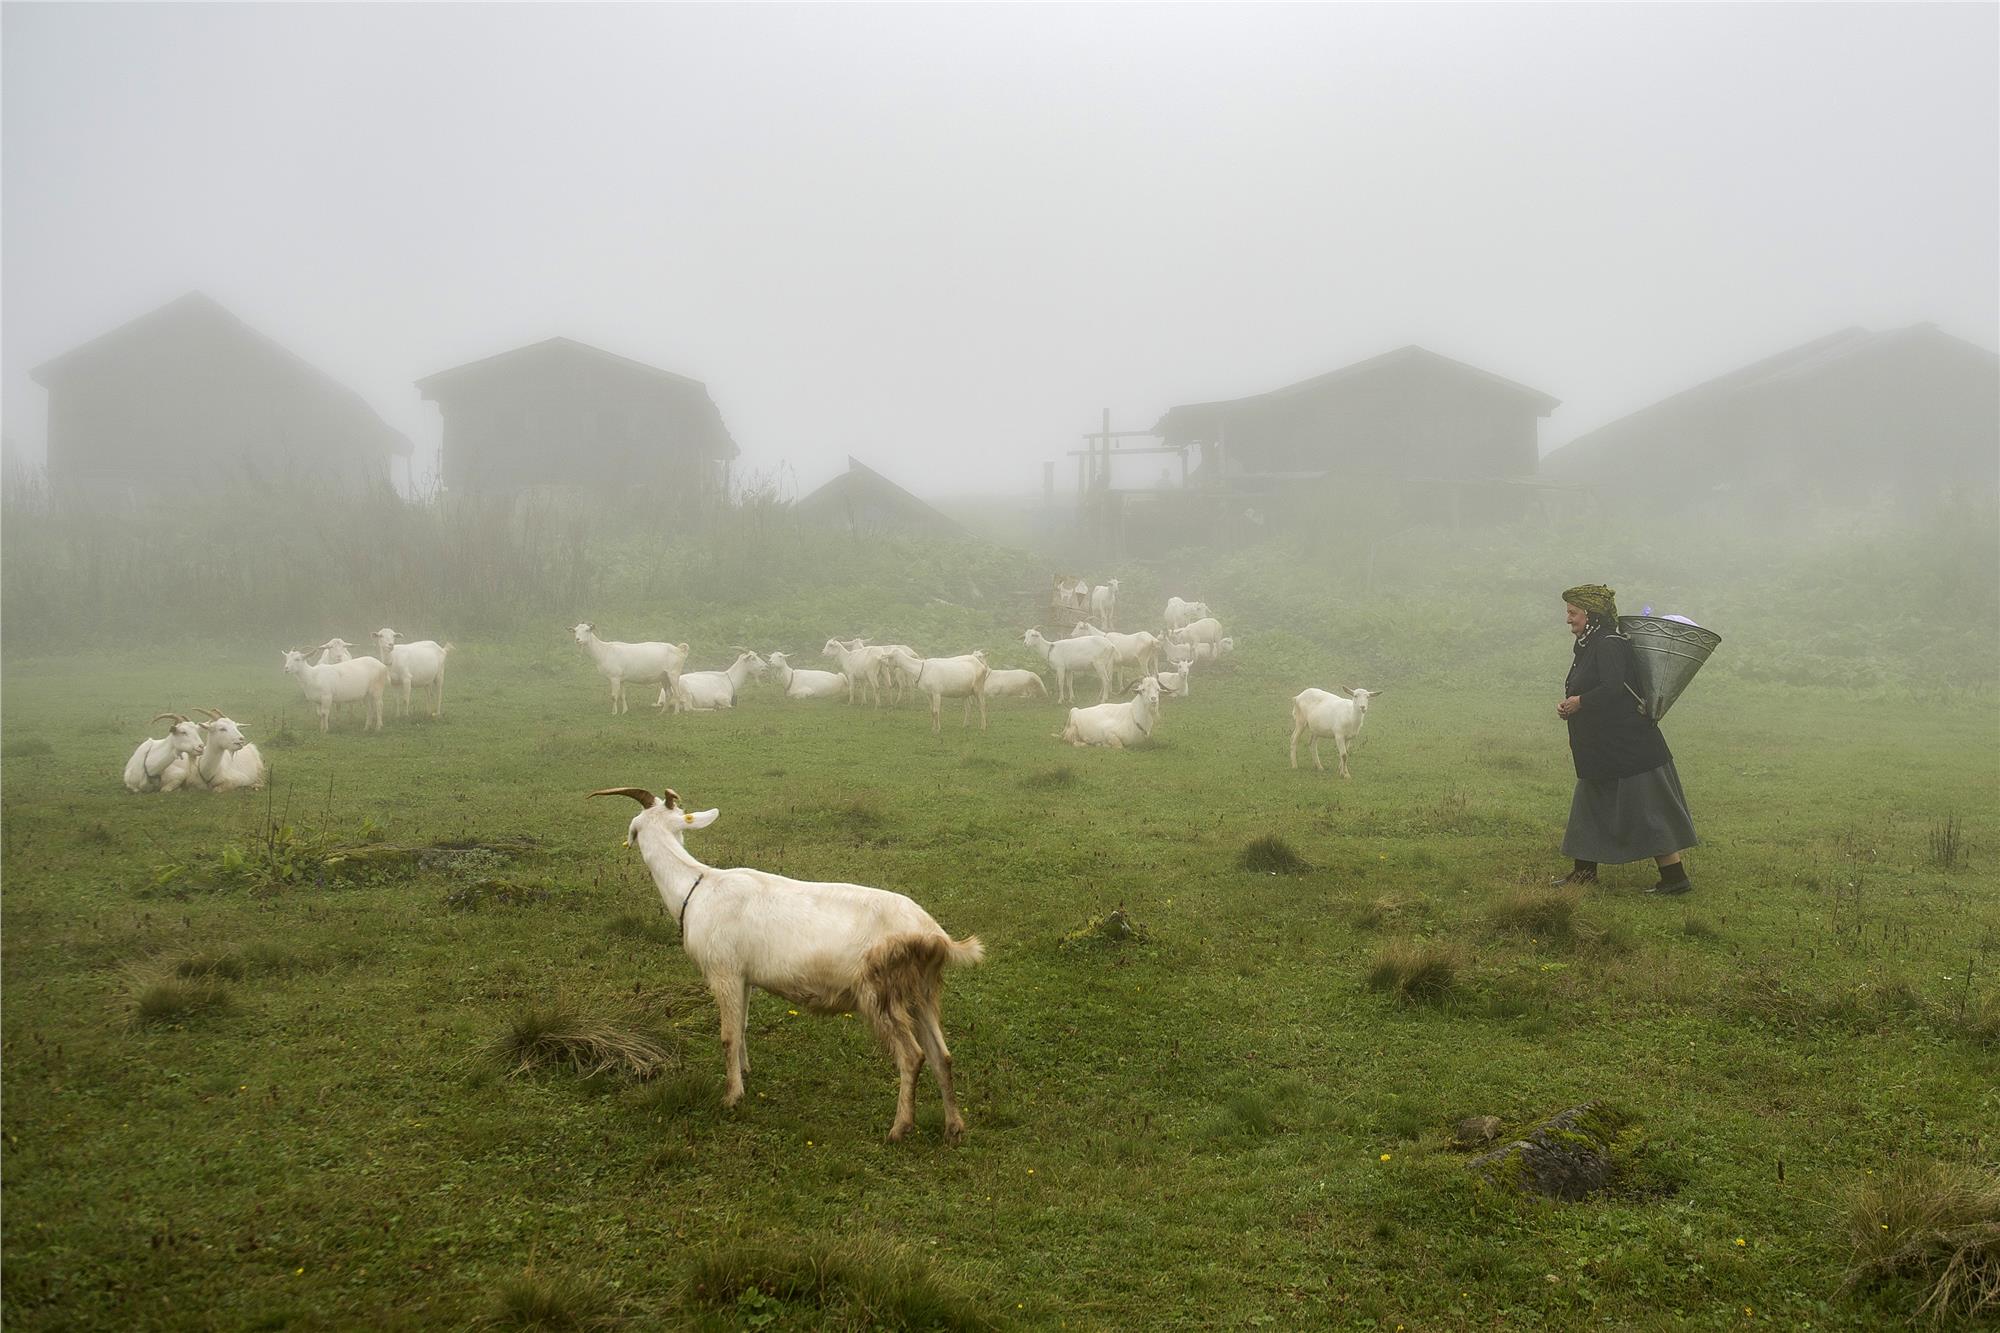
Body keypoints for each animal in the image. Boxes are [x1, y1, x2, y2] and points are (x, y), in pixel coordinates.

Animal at [588, 780, 988, 1144]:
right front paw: (745, 1073)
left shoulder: (724, 971)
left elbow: (727, 1035)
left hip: (881, 993)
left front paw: (732, 1097)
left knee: (913, 1056)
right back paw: (954, 1127)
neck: (697, 886)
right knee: (942, 1055)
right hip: (921, 992)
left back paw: (899, 1128)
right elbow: (743, 1026)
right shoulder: (744, 977)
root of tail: (935, 936)